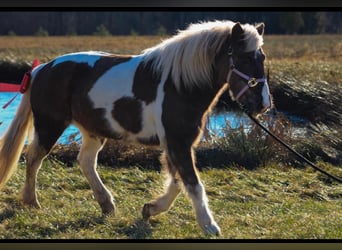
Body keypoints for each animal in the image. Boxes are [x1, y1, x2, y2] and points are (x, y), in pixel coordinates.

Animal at [0, 20, 272, 235]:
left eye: (262, 57)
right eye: (244, 57)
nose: (263, 103)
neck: (179, 84)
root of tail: (41, 69)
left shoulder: (176, 143)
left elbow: (177, 182)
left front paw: (150, 209)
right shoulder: (177, 142)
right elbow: (192, 183)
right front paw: (209, 226)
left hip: (92, 130)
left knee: (85, 161)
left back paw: (107, 205)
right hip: (50, 125)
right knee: (33, 158)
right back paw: (32, 202)